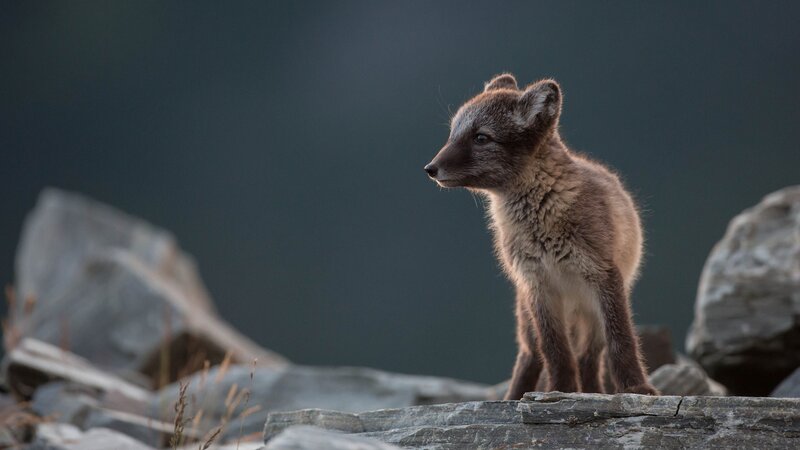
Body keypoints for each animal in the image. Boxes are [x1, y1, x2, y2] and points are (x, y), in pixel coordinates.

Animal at [424, 74, 658, 399]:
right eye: (452, 134)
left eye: (481, 138)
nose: (430, 169)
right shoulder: (537, 284)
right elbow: (555, 351)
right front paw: (560, 389)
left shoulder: (603, 275)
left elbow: (621, 341)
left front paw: (636, 387)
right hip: (528, 317)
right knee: (531, 356)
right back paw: (513, 397)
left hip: (591, 316)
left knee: (588, 358)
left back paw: (593, 391)